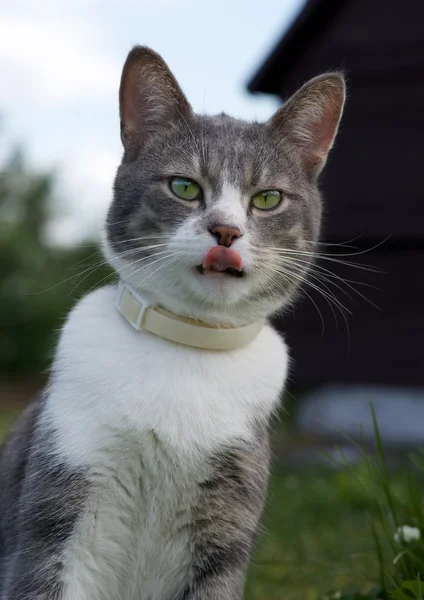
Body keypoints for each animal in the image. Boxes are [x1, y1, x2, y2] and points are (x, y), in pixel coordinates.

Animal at [0, 48, 344, 600]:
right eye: (184, 186)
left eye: (267, 198)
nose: (226, 231)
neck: (187, 344)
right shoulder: (56, 507)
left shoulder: (226, 522)